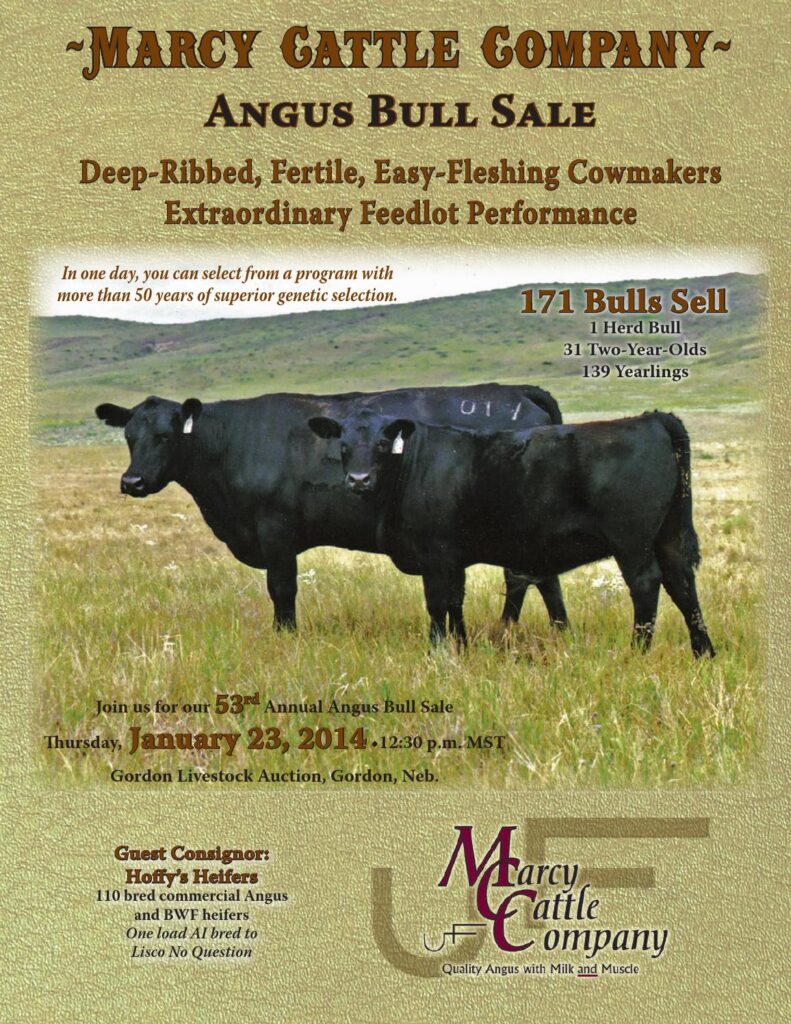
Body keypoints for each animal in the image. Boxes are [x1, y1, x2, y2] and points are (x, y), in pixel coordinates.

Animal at [94, 384, 568, 631]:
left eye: (167, 435)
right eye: (129, 436)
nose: (132, 482)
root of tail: (515, 392)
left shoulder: (276, 529)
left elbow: (282, 588)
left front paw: (284, 635)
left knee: (529, 576)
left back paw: (528, 629)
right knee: (528, 576)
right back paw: (524, 629)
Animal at [307, 409, 715, 657]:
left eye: (381, 443)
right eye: (343, 444)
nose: (359, 479)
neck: (411, 465)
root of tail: (650, 420)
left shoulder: (435, 554)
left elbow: (437, 604)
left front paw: (436, 651)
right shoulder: (454, 559)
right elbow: (456, 602)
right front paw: (462, 647)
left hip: (631, 541)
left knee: (646, 584)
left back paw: (637, 650)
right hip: (668, 535)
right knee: (682, 583)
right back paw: (703, 651)